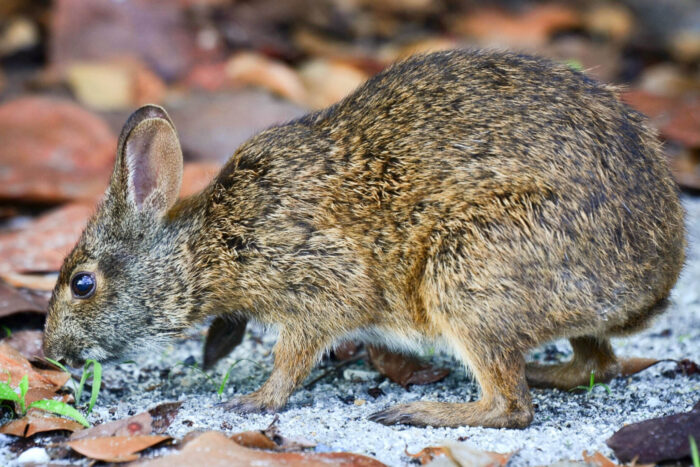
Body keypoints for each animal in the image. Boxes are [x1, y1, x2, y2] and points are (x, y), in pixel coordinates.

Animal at [43, 49, 685, 428]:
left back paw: (421, 410)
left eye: (83, 284)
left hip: (467, 273)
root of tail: (654, 283)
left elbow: (294, 355)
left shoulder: (319, 284)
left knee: (513, 407)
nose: (50, 354)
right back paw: (544, 372)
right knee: (594, 365)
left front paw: (255, 401)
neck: (207, 245)